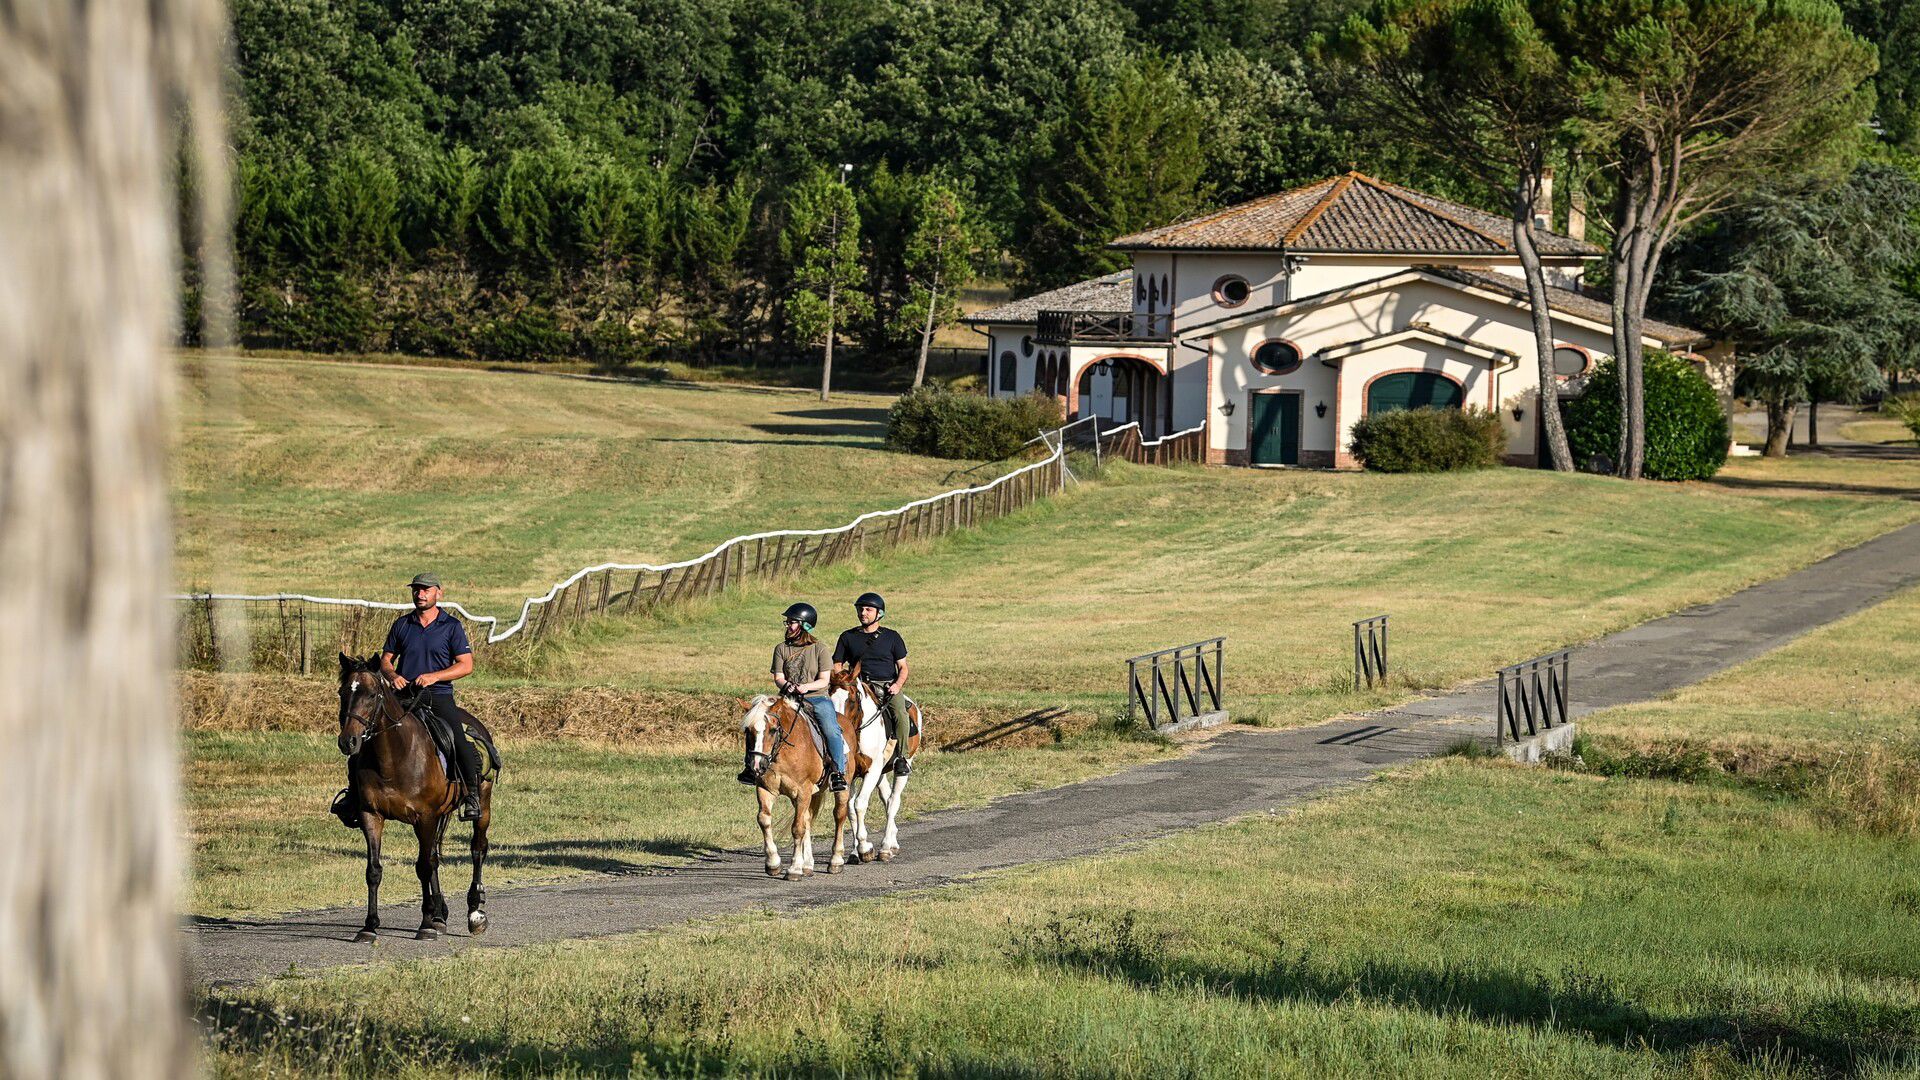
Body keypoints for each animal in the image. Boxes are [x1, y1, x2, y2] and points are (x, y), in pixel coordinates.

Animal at [336, 653, 495, 937]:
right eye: (343, 692)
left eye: (372, 694)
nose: (348, 742)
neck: (392, 758)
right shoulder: (371, 815)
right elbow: (374, 870)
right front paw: (370, 926)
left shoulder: (425, 816)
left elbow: (423, 866)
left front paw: (426, 924)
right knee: (434, 857)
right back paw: (440, 915)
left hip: (482, 808)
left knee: (477, 849)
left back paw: (475, 913)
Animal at [737, 687, 852, 876]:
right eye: (748, 730)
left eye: (773, 730)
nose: (757, 765)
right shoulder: (765, 789)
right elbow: (764, 820)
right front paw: (773, 863)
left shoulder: (802, 791)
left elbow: (797, 828)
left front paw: (794, 869)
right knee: (807, 819)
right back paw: (808, 865)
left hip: (842, 788)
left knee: (839, 815)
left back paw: (836, 860)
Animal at [829, 661, 925, 860]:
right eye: (829, 696)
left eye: (851, 699)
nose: (839, 729)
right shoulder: (851, 775)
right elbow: (850, 809)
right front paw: (855, 850)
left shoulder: (871, 771)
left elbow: (859, 804)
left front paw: (864, 847)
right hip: (881, 773)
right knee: (887, 798)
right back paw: (892, 842)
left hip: (903, 765)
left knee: (893, 800)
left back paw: (886, 847)